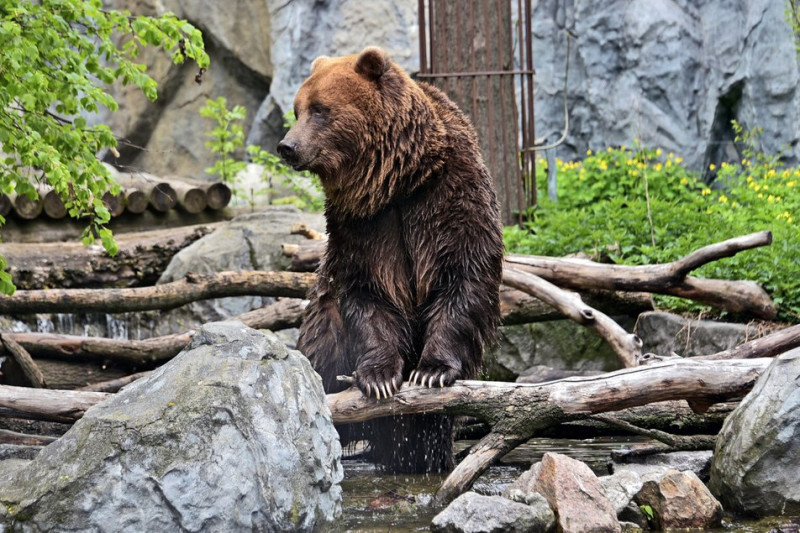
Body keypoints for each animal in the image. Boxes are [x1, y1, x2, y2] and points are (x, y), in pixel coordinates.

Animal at [278, 44, 504, 470]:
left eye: (320, 109)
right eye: (297, 109)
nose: (287, 146)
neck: (396, 181)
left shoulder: (450, 197)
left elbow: (463, 276)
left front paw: (431, 371)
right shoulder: (362, 226)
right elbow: (370, 292)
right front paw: (379, 377)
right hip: (320, 337)